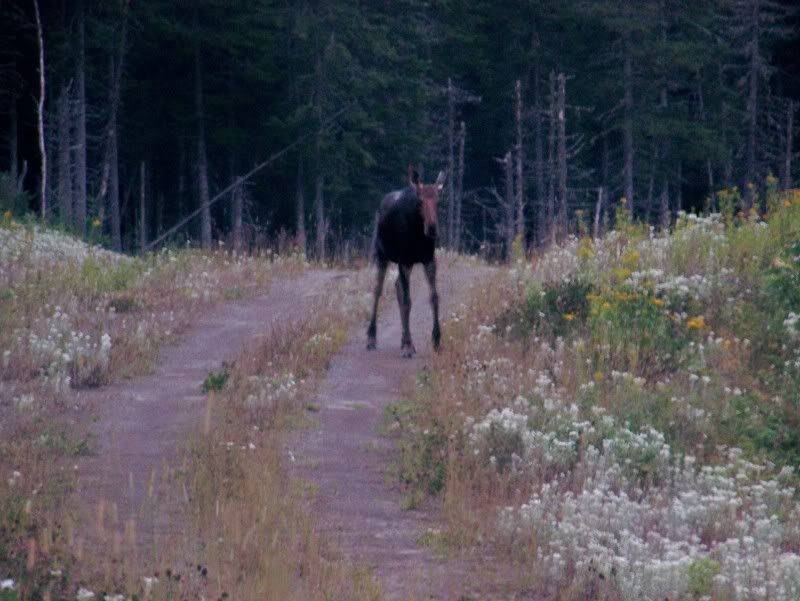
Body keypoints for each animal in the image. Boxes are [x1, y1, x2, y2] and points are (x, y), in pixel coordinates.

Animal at [368, 164, 446, 356]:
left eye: (438, 201)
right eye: (420, 201)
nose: (432, 228)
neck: (418, 235)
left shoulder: (429, 260)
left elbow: (434, 296)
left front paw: (436, 339)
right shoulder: (403, 260)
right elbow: (407, 302)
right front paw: (409, 346)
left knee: (397, 286)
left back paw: (403, 338)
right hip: (381, 255)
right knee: (377, 290)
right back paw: (371, 337)